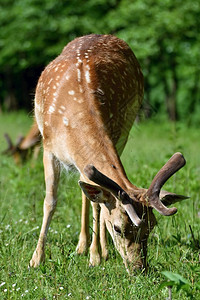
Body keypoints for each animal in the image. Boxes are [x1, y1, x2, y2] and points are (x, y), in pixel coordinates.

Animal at [29, 34, 188, 270]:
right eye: (118, 228)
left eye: (151, 227)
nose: (139, 267)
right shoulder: (48, 147)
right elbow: (50, 202)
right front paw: (36, 259)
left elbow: (99, 204)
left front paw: (96, 256)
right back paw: (81, 246)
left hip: (123, 134)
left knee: (93, 195)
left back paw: (98, 248)